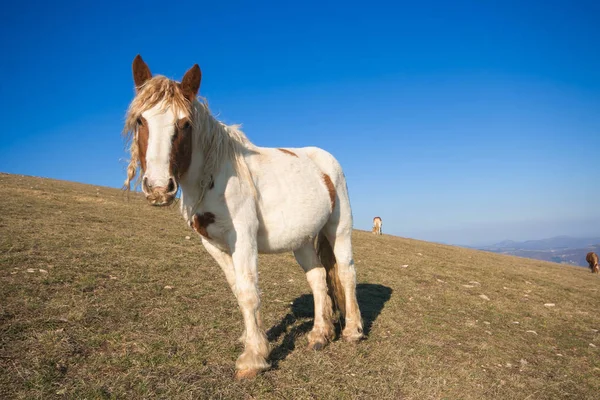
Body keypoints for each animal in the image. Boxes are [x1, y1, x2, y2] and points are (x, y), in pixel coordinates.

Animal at [122, 54, 364, 380]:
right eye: (140, 120)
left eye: (184, 124)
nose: (159, 188)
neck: (213, 176)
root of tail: (326, 161)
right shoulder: (213, 245)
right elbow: (238, 290)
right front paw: (254, 339)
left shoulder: (243, 239)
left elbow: (249, 291)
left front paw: (253, 359)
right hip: (301, 240)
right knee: (317, 278)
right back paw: (320, 334)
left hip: (338, 229)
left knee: (346, 273)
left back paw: (352, 331)